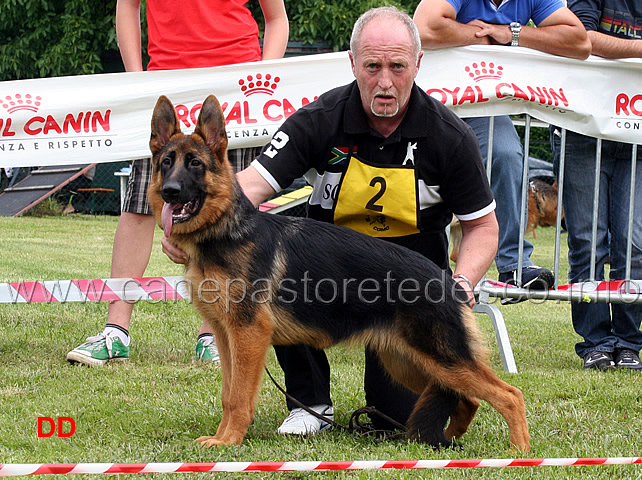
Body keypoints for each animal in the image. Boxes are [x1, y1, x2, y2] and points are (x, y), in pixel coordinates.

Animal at [148, 95, 528, 452]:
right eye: (166, 162)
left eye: (195, 164)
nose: (170, 191)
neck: (226, 230)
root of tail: (448, 282)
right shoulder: (227, 337)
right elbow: (229, 394)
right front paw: (222, 437)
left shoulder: (248, 337)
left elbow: (239, 397)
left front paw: (229, 442)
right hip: (409, 363)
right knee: (467, 398)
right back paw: (445, 441)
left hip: (439, 359)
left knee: (509, 395)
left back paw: (519, 451)